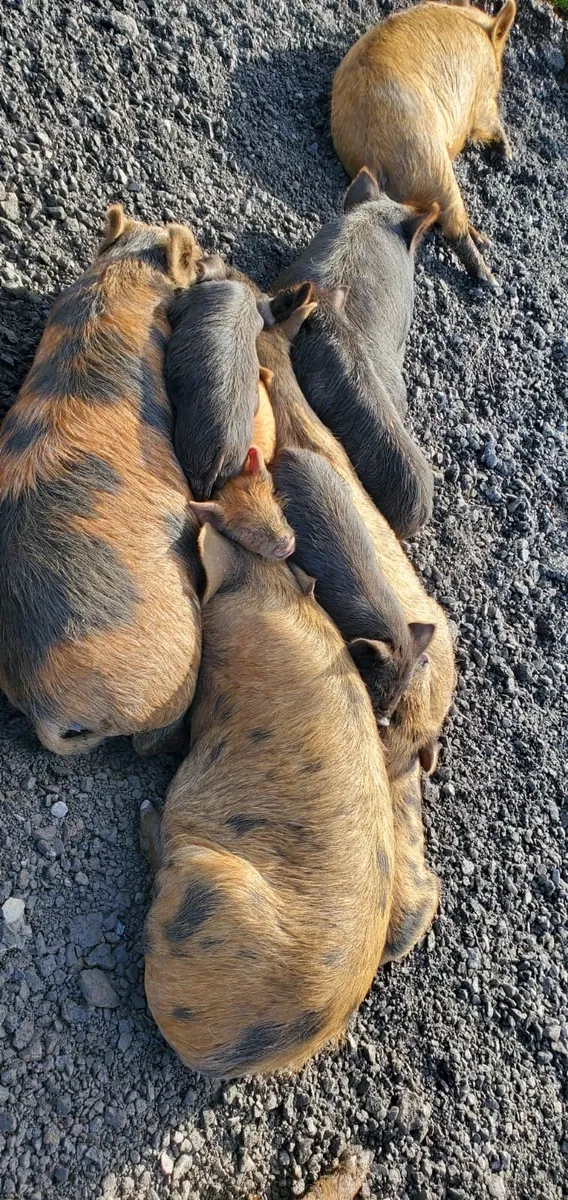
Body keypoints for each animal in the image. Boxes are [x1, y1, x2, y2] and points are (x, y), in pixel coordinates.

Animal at [331, 0, 517, 287]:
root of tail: (374, 156)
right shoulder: (481, 100)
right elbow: (490, 121)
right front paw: (507, 156)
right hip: (432, 161)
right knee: (453, 225)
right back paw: (490, 278)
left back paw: (485, 243)